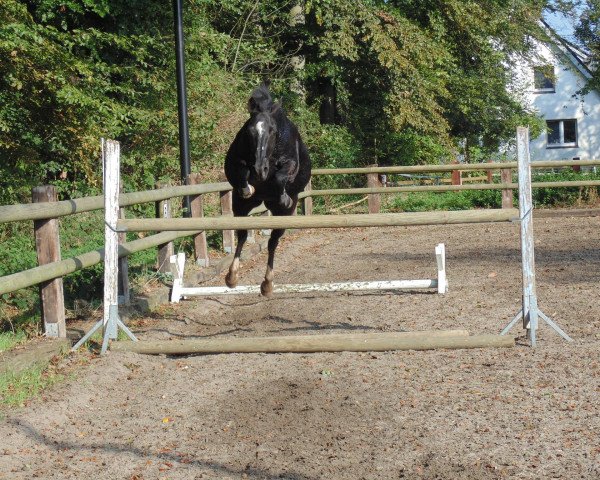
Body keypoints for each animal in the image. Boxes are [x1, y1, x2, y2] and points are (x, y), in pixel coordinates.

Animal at [223, 85, 312, 296]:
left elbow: (281, 177)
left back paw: (267, 283)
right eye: (249, 131)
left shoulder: (290, 164)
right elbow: (241, 175)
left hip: (282, 215)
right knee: (243, 235)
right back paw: (232, 276)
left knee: (273, 242)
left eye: (272, 131)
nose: (260, 170)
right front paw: (249, 186)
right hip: (241, 207)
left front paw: (284, 196)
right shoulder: (234, 165)